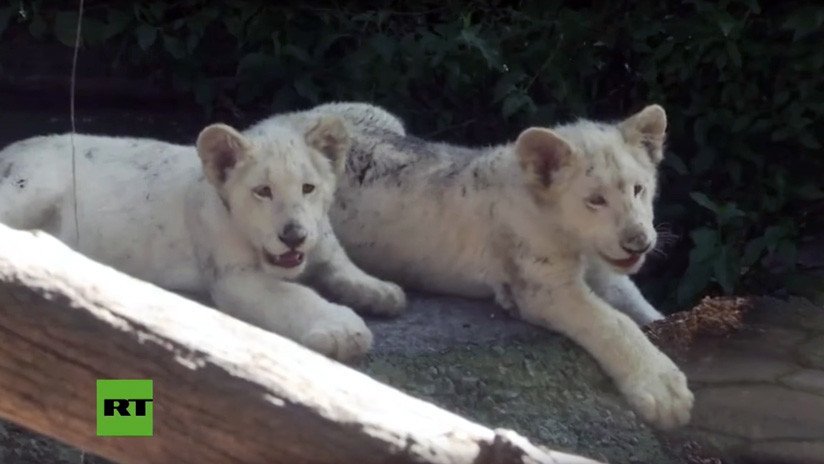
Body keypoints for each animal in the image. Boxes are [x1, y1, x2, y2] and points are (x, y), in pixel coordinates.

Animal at [0, 116, 406, 362]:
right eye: (263, 191)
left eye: (308, 188)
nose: (294, 236)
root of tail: (9, 149)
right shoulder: (233, 278)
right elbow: (293, 295)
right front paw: (343, 330)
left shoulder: (321, 242)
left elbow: (342, 265)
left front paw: (383, 292)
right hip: (32, 186)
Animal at [251, 102, 694, 429]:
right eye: (595, 200)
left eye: (639, 189)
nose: (639, 241)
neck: (580, 245)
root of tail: (272, 120)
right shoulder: (543, 287)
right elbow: (612, 323)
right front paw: (666, 392)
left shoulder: (606, 273)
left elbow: (639, 308)